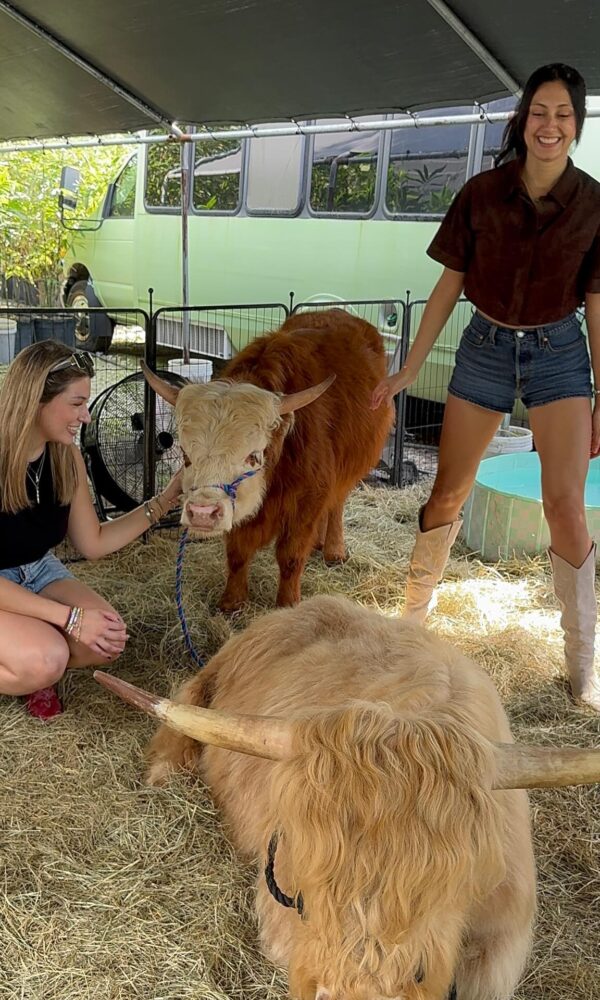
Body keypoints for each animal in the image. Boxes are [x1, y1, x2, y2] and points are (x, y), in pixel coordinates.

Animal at [142, 309, 394, 610]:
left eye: (253, 456)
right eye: (185, 454)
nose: (203, 513)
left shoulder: (307, 499)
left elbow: (291, 557)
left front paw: (288, 604)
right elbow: (237, 553)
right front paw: (232, 602)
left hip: (347, 470)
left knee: (336, 506)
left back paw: (333, 550)